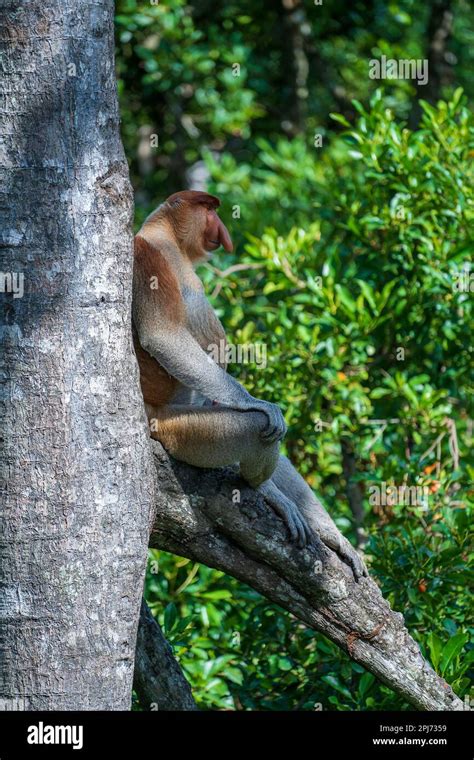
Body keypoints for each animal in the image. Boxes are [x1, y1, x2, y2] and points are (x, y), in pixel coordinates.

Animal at [133, 193, 366, 580]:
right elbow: (163, 336)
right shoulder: (144, 256)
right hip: (175, 426)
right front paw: (259, 404)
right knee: (258, 429)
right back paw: (267, 491)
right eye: (210, 209)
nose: (223, 232)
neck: (170, 242)